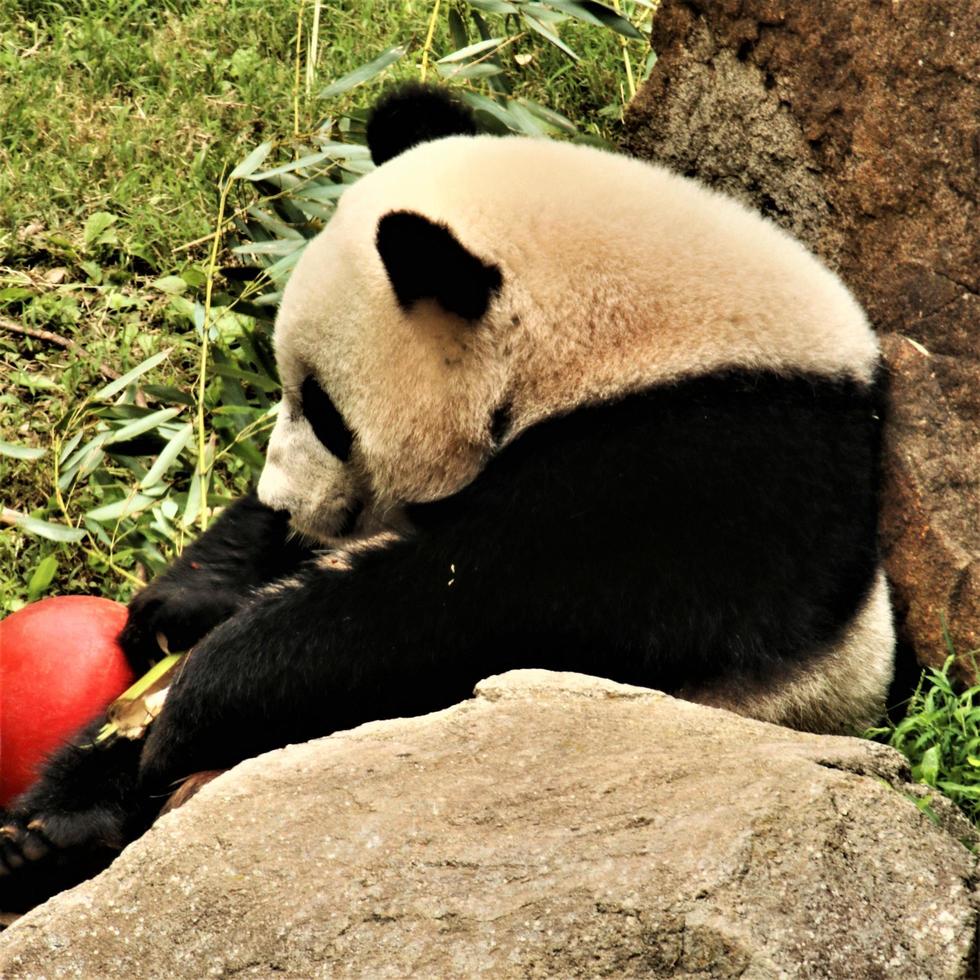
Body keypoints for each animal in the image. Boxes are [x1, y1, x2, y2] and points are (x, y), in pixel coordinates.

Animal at [0, 86, 892, 912]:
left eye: (324, 409)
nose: (287, 504)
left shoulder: (703, 472)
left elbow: (467, 605)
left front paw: (197, 697)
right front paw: (181, 604)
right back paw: (47, 831)